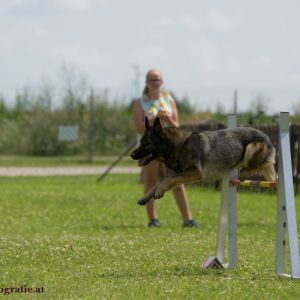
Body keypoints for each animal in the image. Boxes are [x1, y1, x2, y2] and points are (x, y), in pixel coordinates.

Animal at [131, 116, 276, 205]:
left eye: (147, 143)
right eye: (141, 142)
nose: (132, 155)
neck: (178, 146)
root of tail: (267, 137)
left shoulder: (195, 173)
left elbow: (165, 181)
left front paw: (159, 190)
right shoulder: (178, 175)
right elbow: (160, 183)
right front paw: (146, 197)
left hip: (250, 149)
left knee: (262, 166)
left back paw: (246, 172)